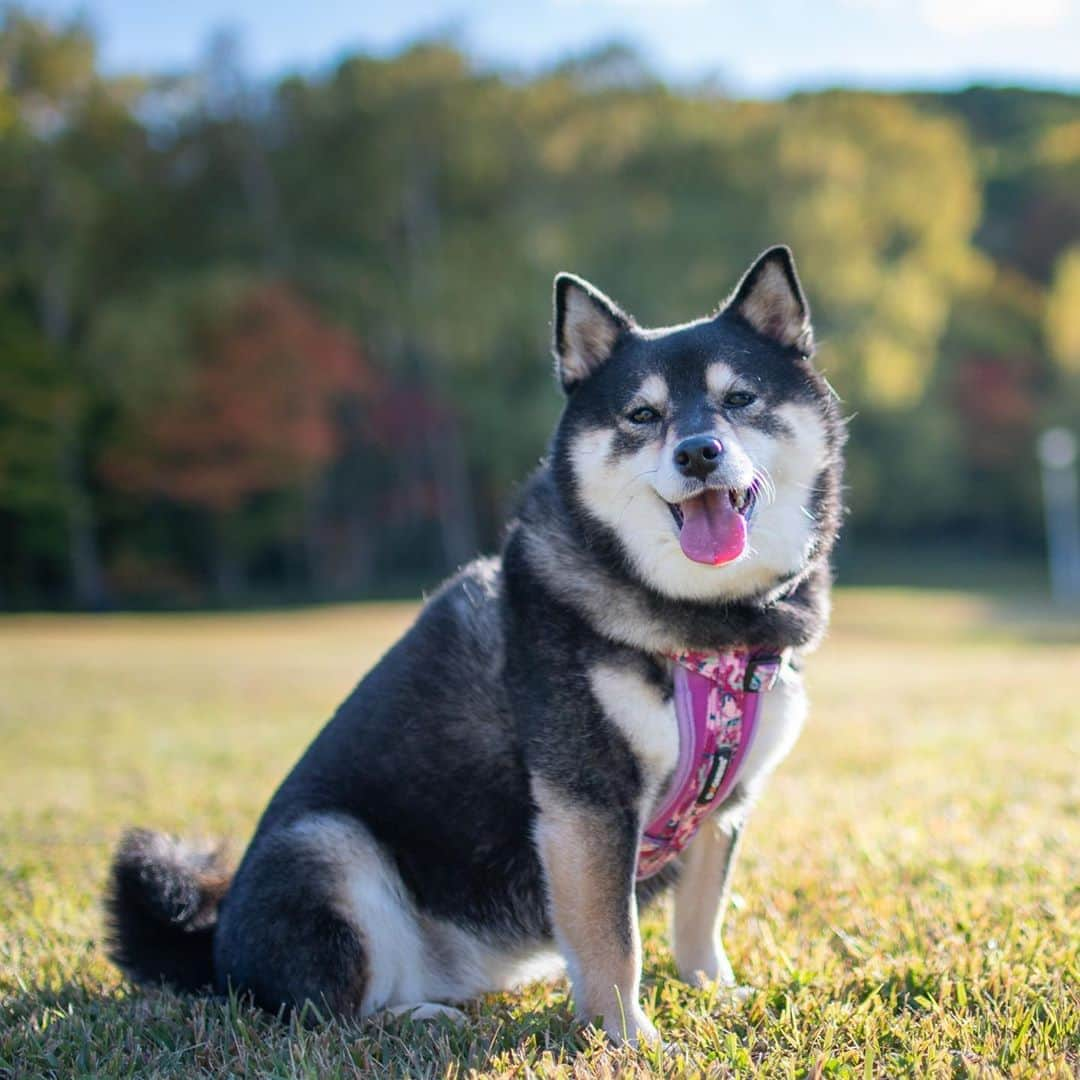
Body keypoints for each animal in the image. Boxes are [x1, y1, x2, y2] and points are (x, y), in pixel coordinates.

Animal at [107, 247, 842, 1045]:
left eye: (739, 399)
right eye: (643, 415)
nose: (699, 452)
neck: (706, 626)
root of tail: (212, 954)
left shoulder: (726, 803)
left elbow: (699, 920)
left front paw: (715, 991)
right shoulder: (586, 801)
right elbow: (614, 940)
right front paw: (627, 1038)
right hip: (329, 844)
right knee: (322, 1011)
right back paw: (417, 1018)